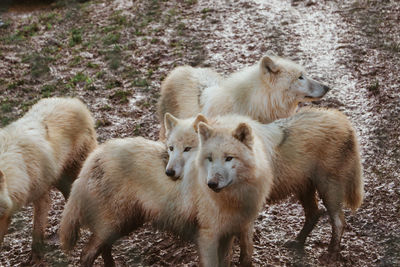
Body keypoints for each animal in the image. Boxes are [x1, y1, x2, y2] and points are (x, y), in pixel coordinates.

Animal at [59, 114, 272, 267]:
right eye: (210, 158)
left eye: (229, 158)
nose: (211, 183)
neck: (236, 196)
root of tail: (94, 156)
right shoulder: (209, 236)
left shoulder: (236, 229)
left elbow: (244, 257)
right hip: (114, 224)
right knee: (86, 255)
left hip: (123, 224)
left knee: (104, 249)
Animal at [164, 108, 364, 260]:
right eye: (171, 148)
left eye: (188, 149)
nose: (169, 172)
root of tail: (343, 120)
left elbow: (242, 244)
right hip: (304, 189)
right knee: (314, 214)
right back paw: (297, 242)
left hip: (328, 189)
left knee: (339, 221)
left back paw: (331, 253)